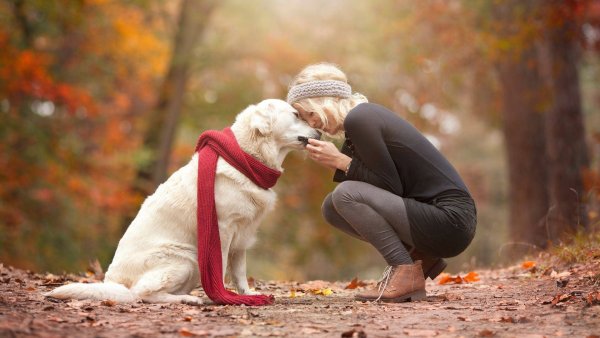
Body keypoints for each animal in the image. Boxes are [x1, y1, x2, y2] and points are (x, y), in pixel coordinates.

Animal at [45, 99, 318, 304]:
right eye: (296, 115)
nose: (319, 131)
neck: (246, 157)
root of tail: (113, 282)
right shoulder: (223, 229)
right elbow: (220, 267)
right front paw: (223, 296)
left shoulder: (242, 235)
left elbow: (240, 272)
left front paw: (248, 295)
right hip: (185, 259)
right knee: (141, 294)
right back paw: (189, 299)